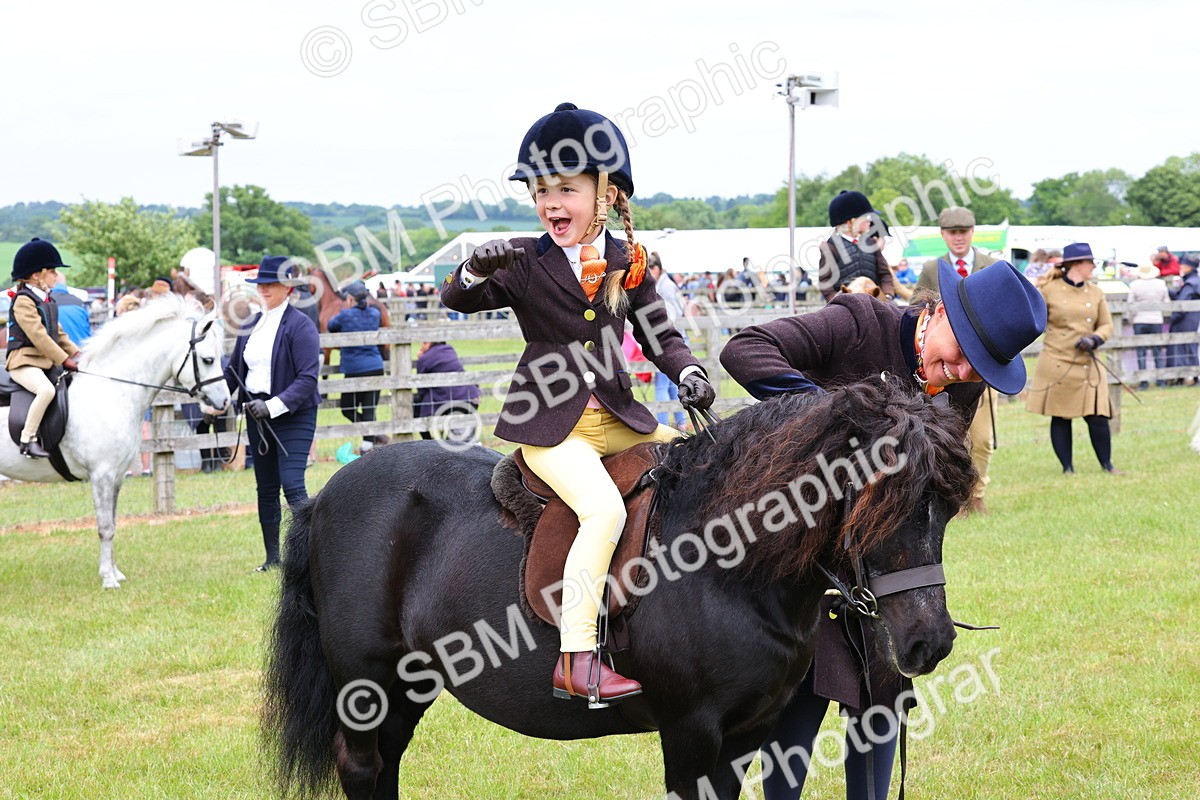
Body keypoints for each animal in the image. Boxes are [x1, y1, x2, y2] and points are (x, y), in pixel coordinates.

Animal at [0, 296, 231, 588]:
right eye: (208, 359)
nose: (224, 402)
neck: (112, 391)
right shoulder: (102, 475)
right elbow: (104, 527)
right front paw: (109, 580)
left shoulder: (117, 476)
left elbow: (113, 522)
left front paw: (113, 571)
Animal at [264, 380, 975, 799]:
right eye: (878, 506)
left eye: (947, 507)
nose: (930, 641)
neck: (727, 562)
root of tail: (326, 495)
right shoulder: (691, 735)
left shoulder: (749, 734)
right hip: (366, 684)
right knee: (362, 766)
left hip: (408, 685)